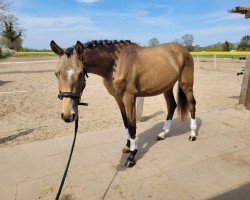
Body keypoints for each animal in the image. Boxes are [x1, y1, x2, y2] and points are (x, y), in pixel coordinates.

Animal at [50, 39, 197, 167]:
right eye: (56, 73)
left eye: (81, 74)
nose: (68, 115)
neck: (115, 63)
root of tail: (183, 49)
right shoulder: (118, 99)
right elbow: (125, 123)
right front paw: (127, 146)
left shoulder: (129, 98)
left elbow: (132, 126)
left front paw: (132, 156)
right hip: (167, 87)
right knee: (171, 105)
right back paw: (163, 134)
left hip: (186, 84)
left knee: (192, 105)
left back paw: (193, 135)